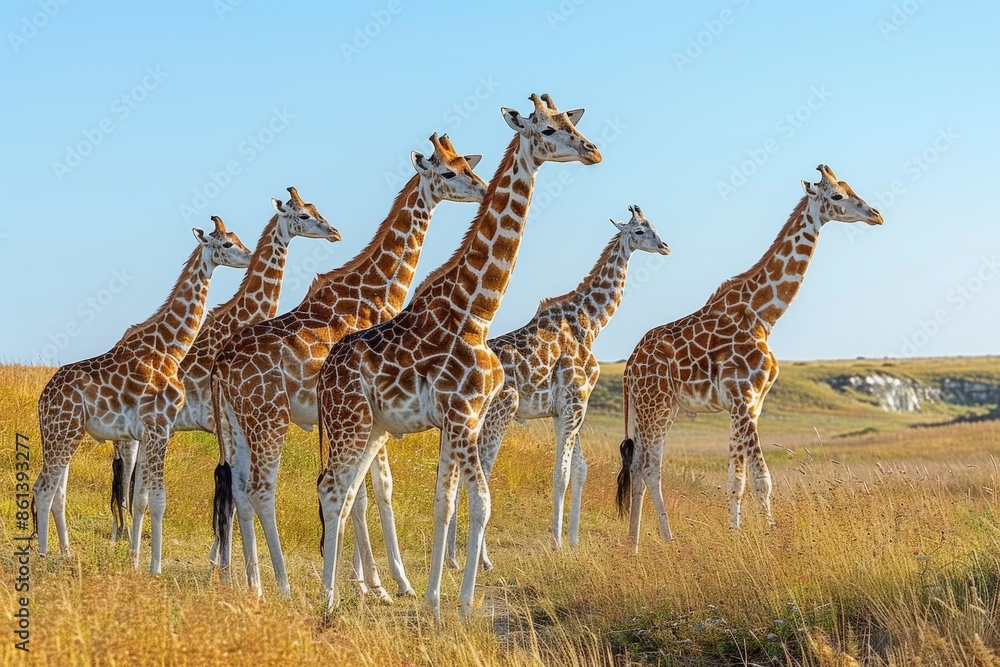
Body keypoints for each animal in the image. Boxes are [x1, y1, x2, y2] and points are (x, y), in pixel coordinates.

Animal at [33, 217, 252, 574]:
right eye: (227, 244)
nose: (250, 257)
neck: (169, 349)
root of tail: (42, 399)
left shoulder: (150, 431)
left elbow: (143, 498)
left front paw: (137, 561)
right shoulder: (160, 426)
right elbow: (159, 499)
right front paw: (155, 568)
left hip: (61, 433)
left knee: (55, 492)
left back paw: (62, 553)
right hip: (63, 432)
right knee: (43, 488)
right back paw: (41, 557)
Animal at [210, 134, 486, 600]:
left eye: (469, 166)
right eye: (449, 172)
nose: (483, 190)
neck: (376, 293)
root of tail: (219, 363)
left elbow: (362, 491)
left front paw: (365, 580)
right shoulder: (369, 409)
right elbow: (375, 490)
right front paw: (387, 583)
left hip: (236, 424)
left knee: (239, 489)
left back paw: (251, 582)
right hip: (268, 419)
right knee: (259, 489)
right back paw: (281, 585)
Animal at [316, 93, 602, 623]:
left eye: (570, 121)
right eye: (547, 129)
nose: (593, 151)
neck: (477, 311)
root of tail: (324, 374)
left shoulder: (456, 420)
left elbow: (443, 502)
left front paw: (434, 600)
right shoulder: (464, 415)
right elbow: (481, 502)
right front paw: (465, 603)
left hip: (373, 427)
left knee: (345, 495)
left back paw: (351, 592)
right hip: (350, 422)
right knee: (331, 488)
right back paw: (328, 600)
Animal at [446, 205, 670, 570]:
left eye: (653, 225)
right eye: (639, 231)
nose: (665, 246)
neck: (591, 323)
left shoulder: (564, 409)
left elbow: (580, 470)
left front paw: (573, 542)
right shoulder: (574, 401)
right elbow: (561, 473)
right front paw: (557, 543)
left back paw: (452, 557)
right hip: (500, 413)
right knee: (481, 473)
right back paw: (483, 560)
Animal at [615, 165, 883, 551]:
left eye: (851, 188)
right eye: (836, 196)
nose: (876, 214)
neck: (764, 315)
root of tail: (628, 369)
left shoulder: (751, 403)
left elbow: (739, 477)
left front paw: (740, 533)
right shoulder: (742, 398)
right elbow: (757, 479)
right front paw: (763, 537)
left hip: (656, 408)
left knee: (639, 465)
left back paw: (635, 543)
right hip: (657, 405)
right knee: (647, 466)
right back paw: (656, 541)